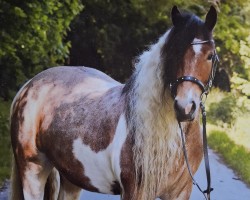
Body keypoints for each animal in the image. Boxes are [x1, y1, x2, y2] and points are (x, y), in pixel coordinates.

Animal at [9, 5, 217, 200]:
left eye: (210, 55)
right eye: (173, 53)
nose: (185, 108)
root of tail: (28, 86)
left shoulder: (180, 193)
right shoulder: (135, 191)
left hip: (71, 177)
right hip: (32, 170)